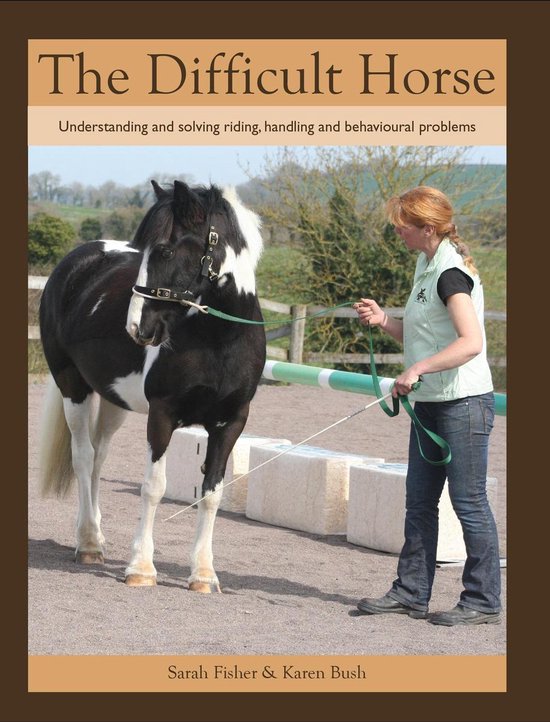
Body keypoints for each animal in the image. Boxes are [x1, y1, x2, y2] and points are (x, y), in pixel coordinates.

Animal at [38, 180, 266, 592]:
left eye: (165, 250)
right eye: (145, 251)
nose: (137, 328)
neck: (219, 341)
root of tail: (74, 262)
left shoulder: (231, 423)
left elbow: (212, 493)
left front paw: (204, 574)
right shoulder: (162, 414)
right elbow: (153, 487)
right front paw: (141, 568)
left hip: (114, 400)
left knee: (98, 458)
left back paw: (97, 535)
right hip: (72, 387)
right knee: (83, 457)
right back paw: (88, 543)